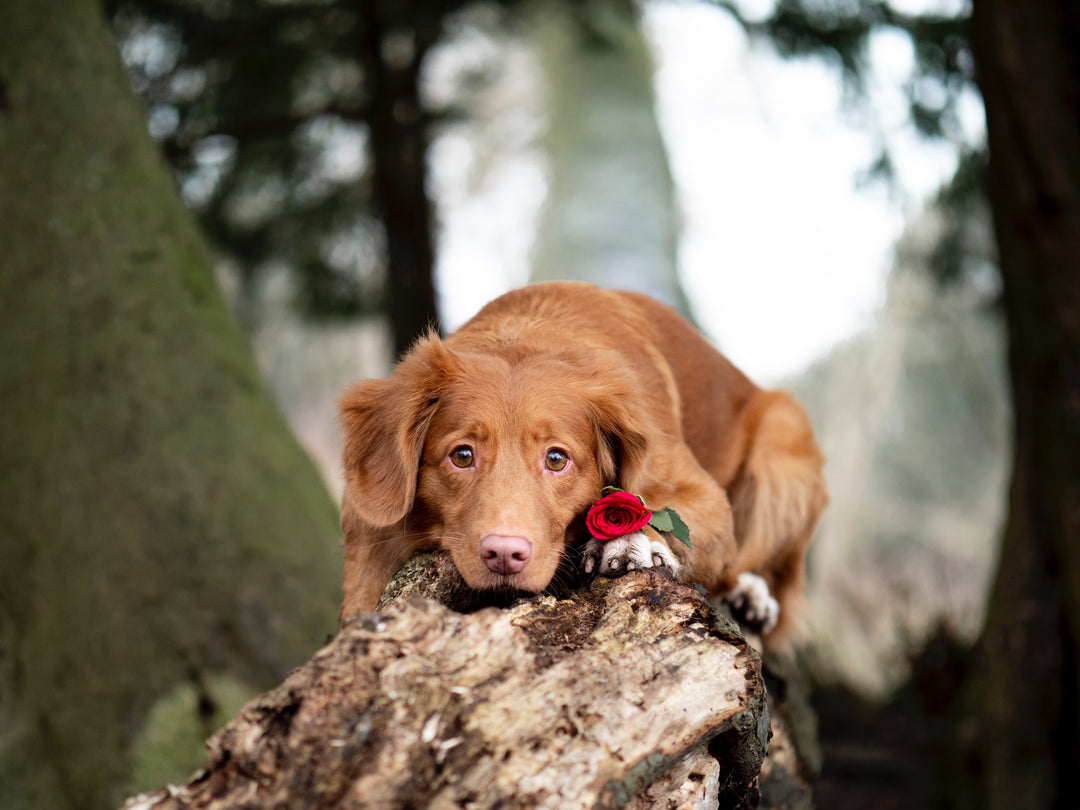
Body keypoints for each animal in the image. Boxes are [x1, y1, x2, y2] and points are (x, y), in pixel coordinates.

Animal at [336, 278, 825, 639]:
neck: (526, 331)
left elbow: (662, 511)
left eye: (556, 459)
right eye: (462, 455)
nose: (504, 554)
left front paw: (633, 542)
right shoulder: (370, 524)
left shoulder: (706, 497)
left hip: (784, 440)